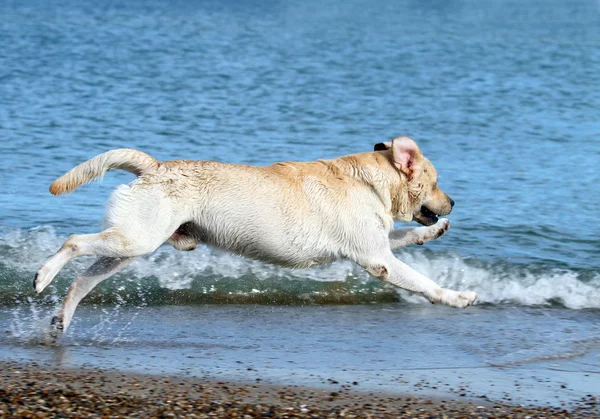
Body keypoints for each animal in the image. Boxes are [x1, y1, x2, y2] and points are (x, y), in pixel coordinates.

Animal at [36, 136, 478, 340]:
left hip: (131, 245)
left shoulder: (375, 246)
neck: (371, 181)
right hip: (134, 240)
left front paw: (432, 230)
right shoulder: (377, 259)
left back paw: (62, 318)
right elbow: (425, 283)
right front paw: (458, 297)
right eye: (435, 181)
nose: (454, 202)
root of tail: (155, 166)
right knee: (73, 241)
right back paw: (42, 275)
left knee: (82, 280)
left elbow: (405, 234)